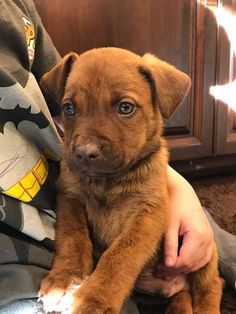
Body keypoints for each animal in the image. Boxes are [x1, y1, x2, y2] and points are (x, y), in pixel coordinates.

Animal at [38, 47, 221, 314]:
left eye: (125, 107)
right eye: (69, 108)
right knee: (184, 295)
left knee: (211, 285)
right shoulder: (69, 198)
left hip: (205, 255)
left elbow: (120, 256)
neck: (108, 182)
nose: (84, 153)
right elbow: (73, 238)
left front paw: (93, 300)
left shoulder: (148, 214)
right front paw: (65, 279)